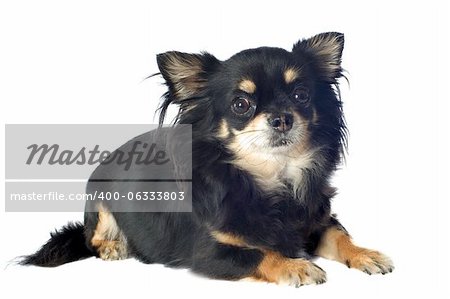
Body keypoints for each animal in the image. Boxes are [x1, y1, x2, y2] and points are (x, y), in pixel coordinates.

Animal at [22, 32, 394, 288]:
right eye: (241, 104)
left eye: (301, 95)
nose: (282, 118)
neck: (272, 177)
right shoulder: (209, 253)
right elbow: (260, 253)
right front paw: (296, 265)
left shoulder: (317, 221)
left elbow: (339, 235)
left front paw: (366, 254)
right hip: (100, 205)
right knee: (92, 239)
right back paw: (115, 246)